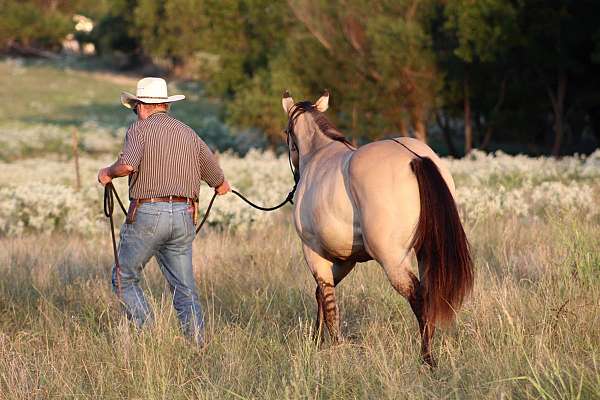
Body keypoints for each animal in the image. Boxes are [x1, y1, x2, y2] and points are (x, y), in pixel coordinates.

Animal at [282, 90, 474, 366]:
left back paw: (427, 358)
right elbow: (321, 294)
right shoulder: (346, 259)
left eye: (286, 132)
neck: (319, 154)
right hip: (426, 252)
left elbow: (328, 300)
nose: (296, 176)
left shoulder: (314, 252)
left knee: (418, 297)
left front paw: (334, 346)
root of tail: (415, 158)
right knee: (429, 293)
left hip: (392, 259)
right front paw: (317, 341)